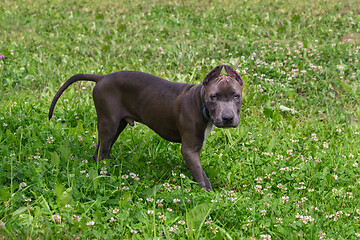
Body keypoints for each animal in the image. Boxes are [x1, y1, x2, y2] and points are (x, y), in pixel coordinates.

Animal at [47, 64, 243, 191]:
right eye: (214, 97)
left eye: (236, 96)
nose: (227, 118)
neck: (200, 103)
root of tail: (102, 78)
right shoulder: (189, 150)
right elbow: (202, 178)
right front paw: (209, 197)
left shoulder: (194, 149)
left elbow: (201, 174)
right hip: (109, 123)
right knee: (102, 152)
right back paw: (106, 177)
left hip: (116, 125)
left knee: (100, 151)